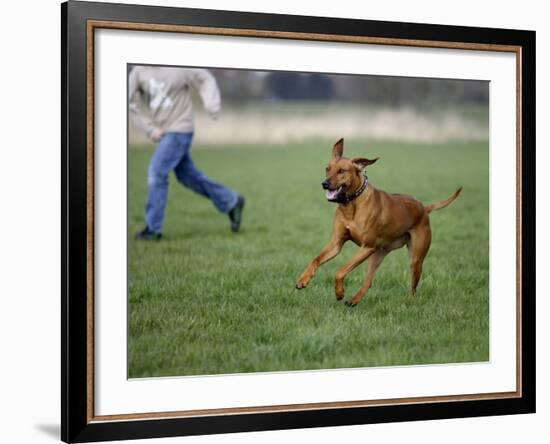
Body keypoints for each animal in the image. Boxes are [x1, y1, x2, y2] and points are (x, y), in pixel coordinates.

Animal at [296, 138, 464, 306]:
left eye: (342, 171)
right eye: (327, 169)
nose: (324, 183)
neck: (351, 204)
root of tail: (424, 207)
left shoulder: (367, 246)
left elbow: (340, 270)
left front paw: (339, 292)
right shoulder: (337, 243)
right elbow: (315, 259)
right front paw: (303, 279)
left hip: (414, 258)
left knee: (413, 286)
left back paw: (408, 301)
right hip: (377, 254)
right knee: (368, 281)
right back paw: (354, 300)